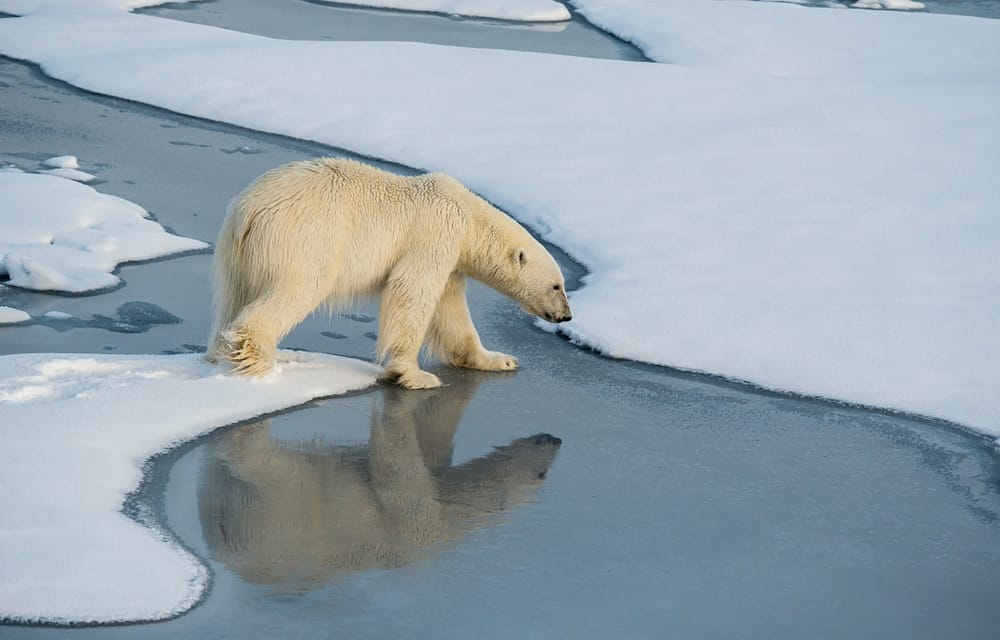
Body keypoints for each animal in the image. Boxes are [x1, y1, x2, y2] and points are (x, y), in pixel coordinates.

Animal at [197, 373, 562, 584]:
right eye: (542, 473)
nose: (556, 439)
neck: (448, 516)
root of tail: (223, 536)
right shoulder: (416, 515)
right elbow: (396, 474)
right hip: (279, 517)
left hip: (220, 494)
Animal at [207, 157, 571, 389]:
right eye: (556, 286)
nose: (566, 316)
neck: (469, 218)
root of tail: (249, 209)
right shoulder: (435, 234)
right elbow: (410, 291)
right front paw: (415, 375)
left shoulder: (452, 261)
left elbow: (451, 310)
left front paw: (498, 359)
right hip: (304, 238)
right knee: (301, 286)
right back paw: (262, 361)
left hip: (236, 253)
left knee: (233, 298)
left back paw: (222, 353)